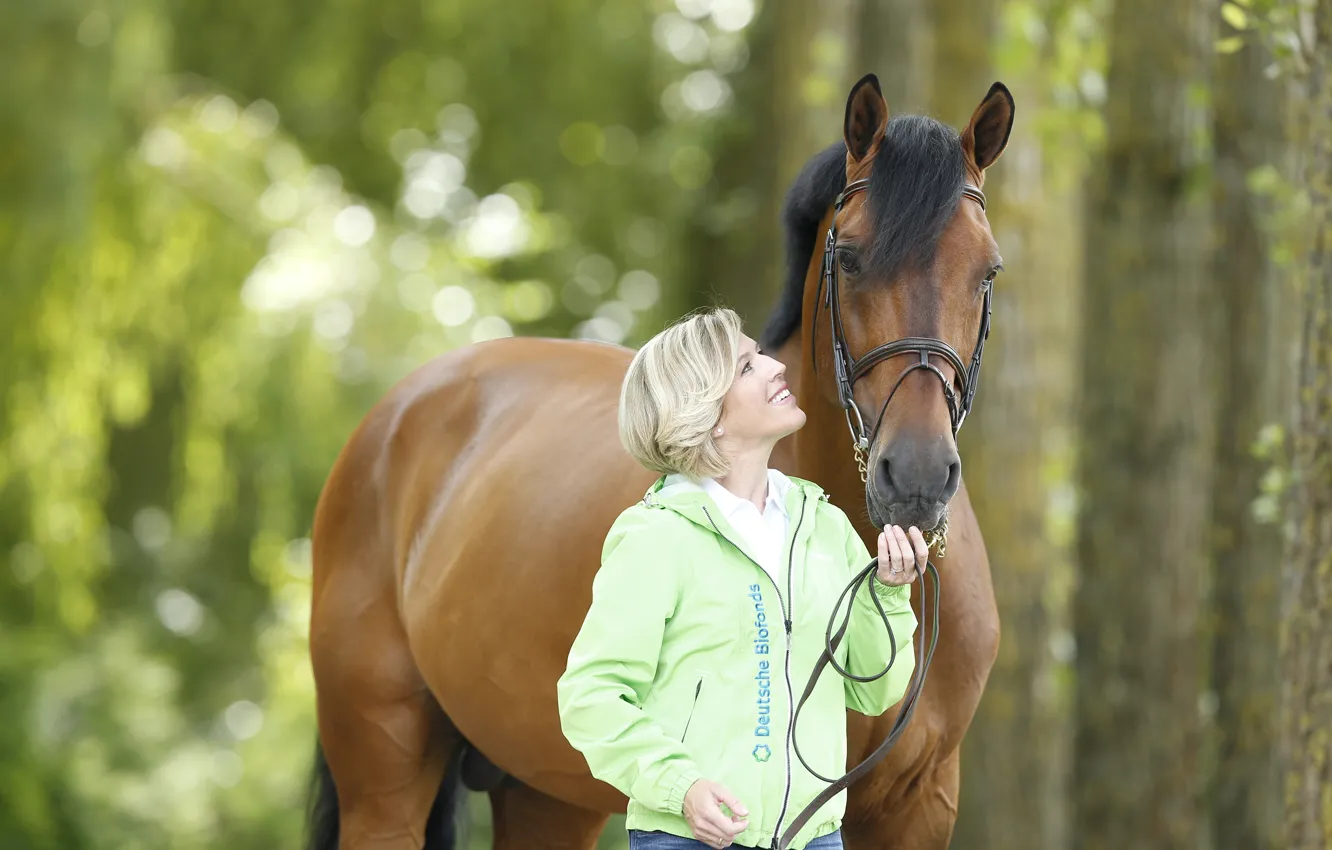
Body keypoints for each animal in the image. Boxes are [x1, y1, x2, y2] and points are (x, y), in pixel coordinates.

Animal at [305, 72, 1013, 850]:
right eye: (851, 256)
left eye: (987, 271)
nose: (916, 478)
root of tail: (397, 413)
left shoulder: (919, 803)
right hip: (385, 772)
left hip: (545, 791)